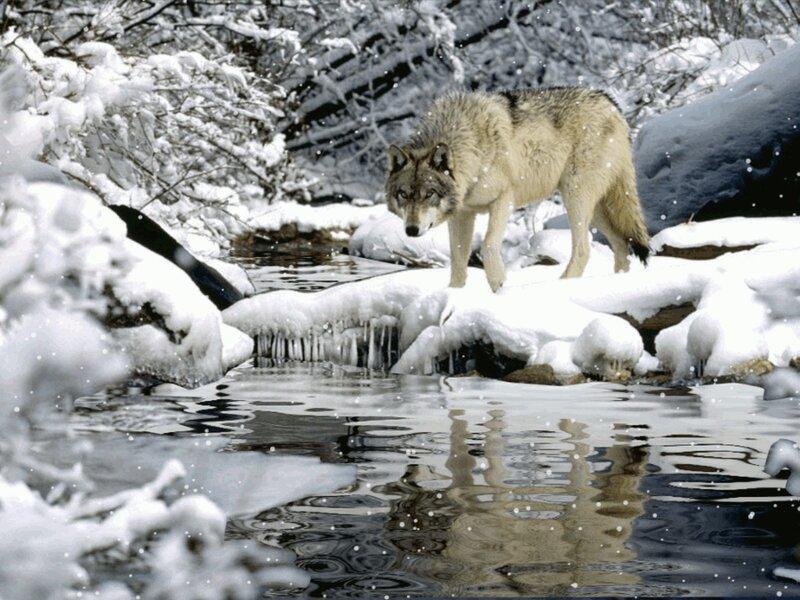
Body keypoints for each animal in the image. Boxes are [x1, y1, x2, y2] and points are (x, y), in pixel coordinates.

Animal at [384, 87, 650, 292]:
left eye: (429, 194)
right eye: (403, 194)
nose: (411, 230)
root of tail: (611, 103)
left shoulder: (504, 199)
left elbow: (489, 245)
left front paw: (498, 285)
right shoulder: (462, 214)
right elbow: (458, 261)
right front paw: (453, 294)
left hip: (575, 196)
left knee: (584, 249)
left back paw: (561, 285)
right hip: (595, 209)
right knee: (620, 242)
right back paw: (618, 280)